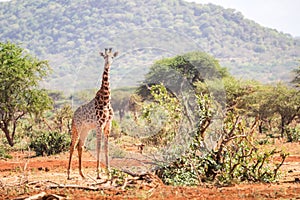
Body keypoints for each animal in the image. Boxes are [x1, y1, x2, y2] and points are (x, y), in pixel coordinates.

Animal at [68, 47, 118, 179]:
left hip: (86, 129)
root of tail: (73, 115)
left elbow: (106, 148)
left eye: (112, 57)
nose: (108, 64)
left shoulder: (108, 125)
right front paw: (99, 173)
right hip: (77, 127)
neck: (105, 99)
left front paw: (109, 172)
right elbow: (98, 146)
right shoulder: (99, 125)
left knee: (80, 145)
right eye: (104, 57)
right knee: (72, 145)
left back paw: (82, 174)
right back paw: (68, 174)